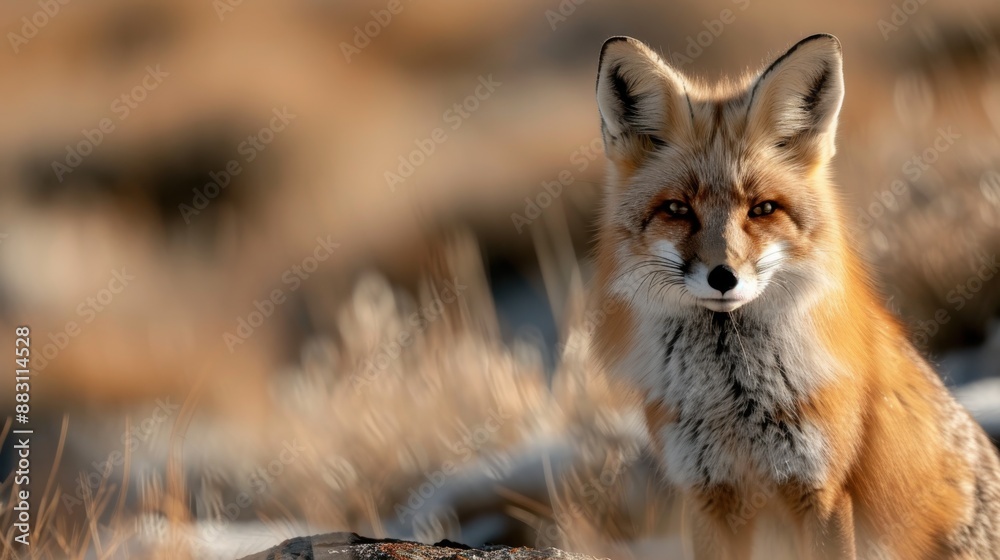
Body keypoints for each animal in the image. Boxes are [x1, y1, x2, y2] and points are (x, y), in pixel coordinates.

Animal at [590, 34, 1000, 559]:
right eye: (678, 209)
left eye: (763, 209)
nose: (723, 277)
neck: (732, 401)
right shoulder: (707, 494)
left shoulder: (820, 489)